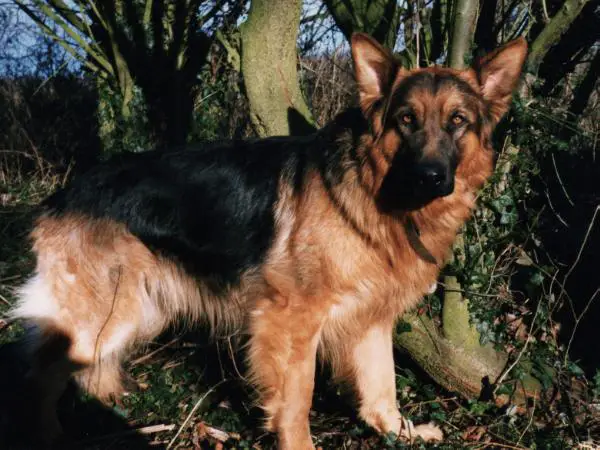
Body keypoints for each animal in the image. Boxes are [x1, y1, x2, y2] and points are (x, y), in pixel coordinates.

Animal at [9, 33, 524, 448]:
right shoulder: (291, 321)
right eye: (407, 120)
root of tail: (65, 193)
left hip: (142, 309)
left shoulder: (371, 318)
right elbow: (298, 399)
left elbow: (383, 384)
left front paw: (399, 432)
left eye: (458, 121)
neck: (371, 191)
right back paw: (48, 434)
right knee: (36, 376)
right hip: (105, 315)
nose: (431, 178)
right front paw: (300, 445)